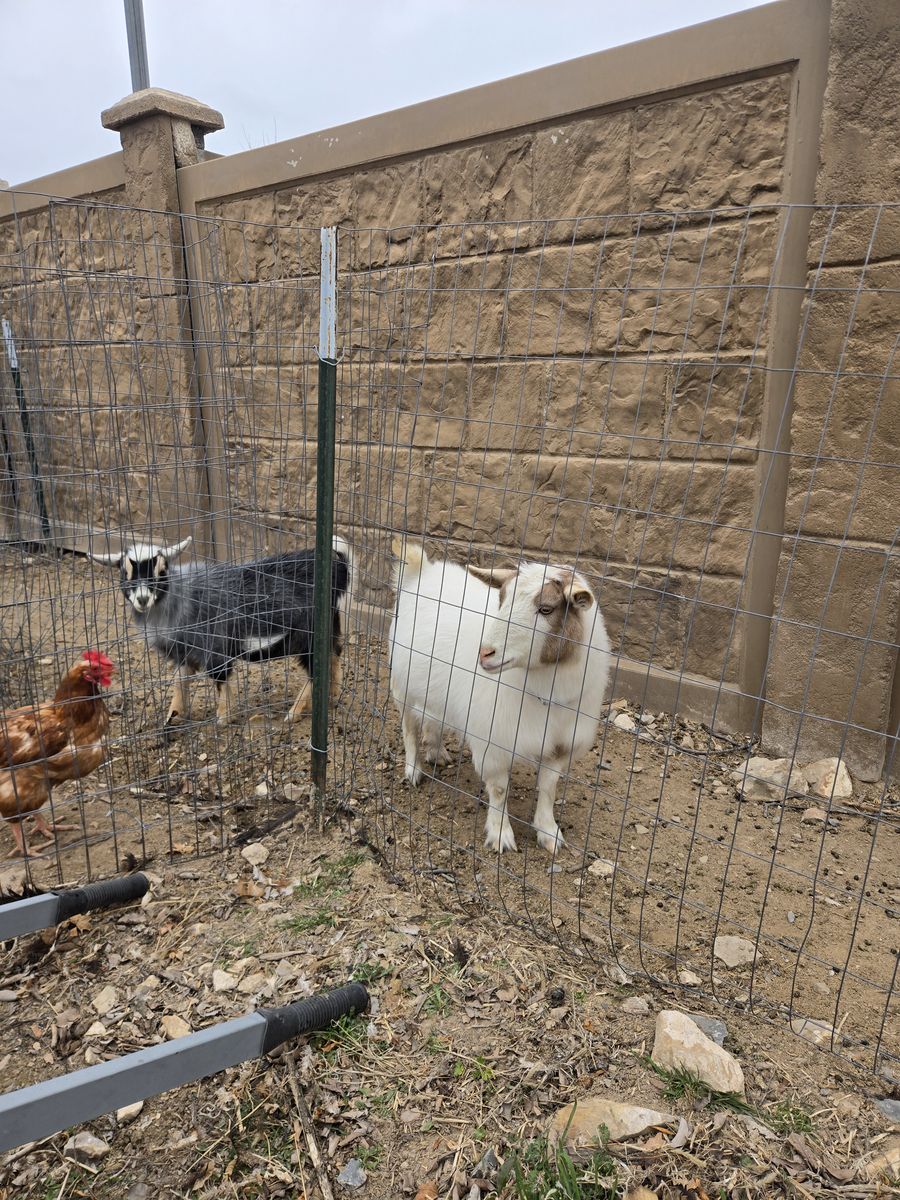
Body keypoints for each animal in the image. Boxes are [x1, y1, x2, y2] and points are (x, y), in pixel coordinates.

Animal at [91, 535, 351, 726]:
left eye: (161, 571)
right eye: (125, 574)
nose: (143, 599)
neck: (181, 598)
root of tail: (338, 569)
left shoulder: (215, 647)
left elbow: (220, 679)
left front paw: (224, 717)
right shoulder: (183, 651)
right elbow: (179, 680)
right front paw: (173, 715)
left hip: (309, 634)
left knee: (317, 668)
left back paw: (294, 712)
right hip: (329, 625)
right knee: (335, 654)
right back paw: (332, 696)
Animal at [388, 538, 611, 854]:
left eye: (546, 609)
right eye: (501, 600)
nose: (485, 653)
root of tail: (421, 572)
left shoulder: (560, 744)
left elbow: (549, 786)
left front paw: (549, 832)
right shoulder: (494, 742)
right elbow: (499, 789)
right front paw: (500, 834)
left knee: (432, 716)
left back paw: (436, 751)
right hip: (403, 682)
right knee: (409, 725)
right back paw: (413, 769)